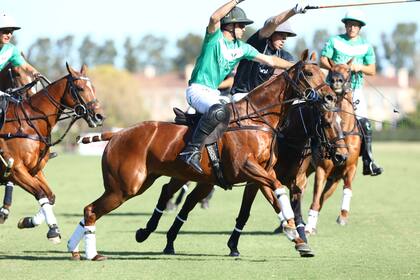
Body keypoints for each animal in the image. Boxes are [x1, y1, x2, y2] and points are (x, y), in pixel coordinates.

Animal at [0, 63, 104, 243]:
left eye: (93, 88)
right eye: (80, 88)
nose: (99, 116)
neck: (29, 123)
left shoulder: (35, 170)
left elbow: (50, 196)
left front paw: (28, 221)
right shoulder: (16, 170)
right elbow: (41, 193)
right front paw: (53, 230)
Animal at [68, 49, 342, 260]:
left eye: (322, 73)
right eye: (309, 73)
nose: (330, 97)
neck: (257, 119)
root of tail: (117, 134)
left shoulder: (260, 174)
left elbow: (275, 196)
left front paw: (298, 239)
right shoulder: (245, 167)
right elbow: (277, 189)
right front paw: (293, 232)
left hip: (146, 180)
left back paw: (80, 247)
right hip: (125, 187)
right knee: (91, 210)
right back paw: (90, 253)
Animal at [304, 59, 362, 234]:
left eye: (349, 70)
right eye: (331, 69)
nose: (337, 80)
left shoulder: (349, 168)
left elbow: (347, 188)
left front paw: (343, 217)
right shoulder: (322, 169)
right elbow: (316, 198)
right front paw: (308, 227)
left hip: (333, 179)